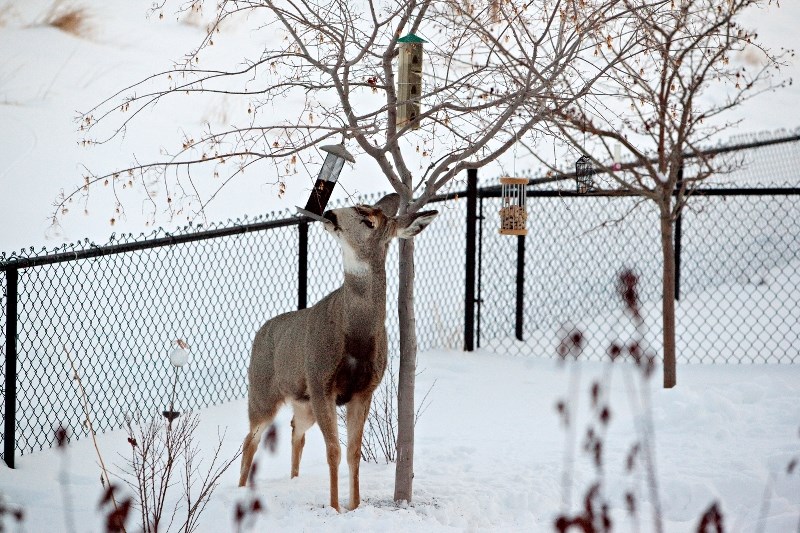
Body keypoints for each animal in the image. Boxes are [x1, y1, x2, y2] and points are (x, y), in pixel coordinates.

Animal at [239, 193, 438, 510]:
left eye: (369, 221)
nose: (330, 213)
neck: (356, 335)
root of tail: (259, 332)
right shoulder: (321, 381)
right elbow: (333, 449)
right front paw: (335, 508)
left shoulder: (364, 390)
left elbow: (353, 452)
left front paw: (354, 505)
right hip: (262, 392)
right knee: (251, 439)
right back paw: (240, 490)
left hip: (303, 402)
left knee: (295, 430)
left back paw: (294, 480)